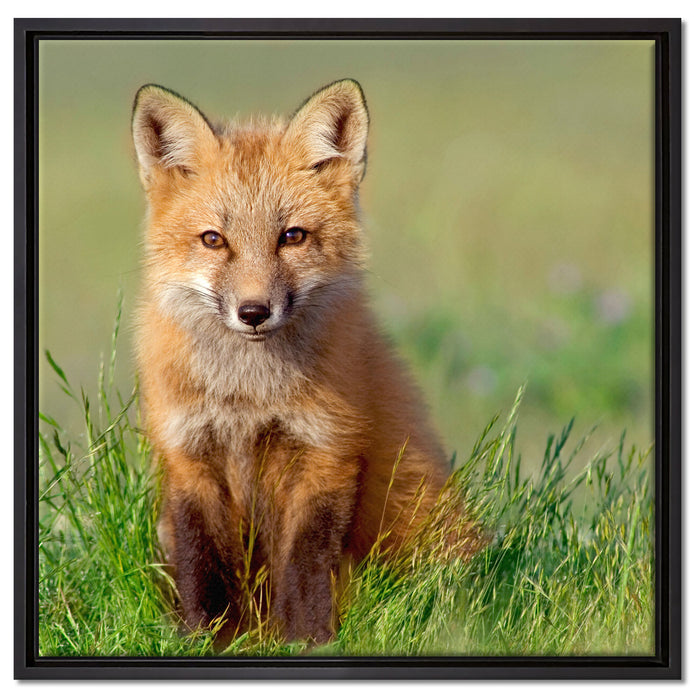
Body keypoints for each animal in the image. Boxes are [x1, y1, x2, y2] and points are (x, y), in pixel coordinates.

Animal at [132, 79, 476, 644]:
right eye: (213, 240)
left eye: (291, 236)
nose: (253, 312)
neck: (248, 397)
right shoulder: (188, 456)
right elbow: (201, 565)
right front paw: (205, 639)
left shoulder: (326, 452)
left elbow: (305, 565)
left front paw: (306, 641)